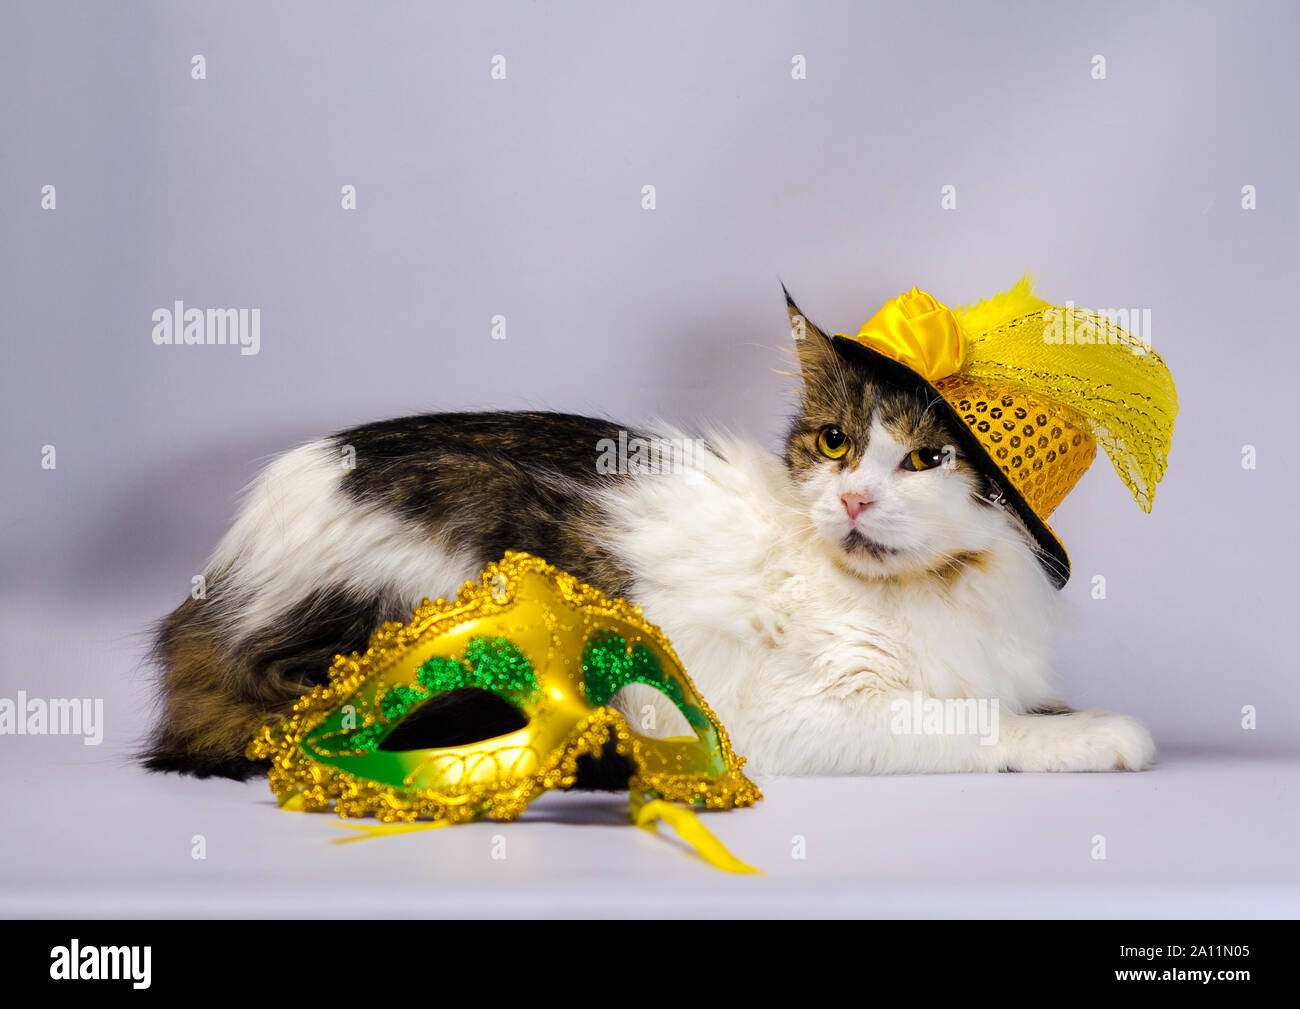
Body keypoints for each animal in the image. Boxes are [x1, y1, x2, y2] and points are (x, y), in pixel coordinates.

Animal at [144, 291, 1159, 780]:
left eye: (926, 458)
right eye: (836, 444)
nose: (853, 501)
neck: (937, 589)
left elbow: (1024, 700)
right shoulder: (784, 714)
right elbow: (974, 719)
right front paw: (1099, 736)